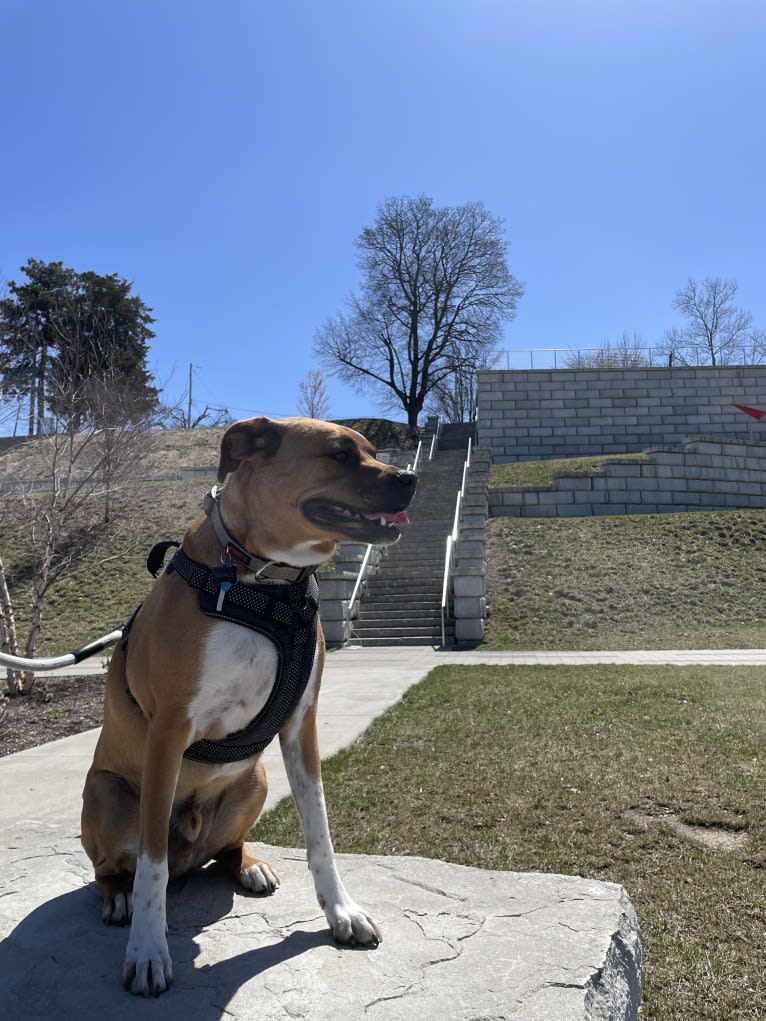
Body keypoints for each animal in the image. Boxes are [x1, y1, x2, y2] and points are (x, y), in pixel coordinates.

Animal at [81, 414, 416, 996]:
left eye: (373, 451)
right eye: (339, 454)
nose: (412, 478)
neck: (266, 582)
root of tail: (191, 856)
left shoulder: (301, 723)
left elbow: (319, 830)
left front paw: (341, 912)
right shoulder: (169, 731)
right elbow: (151, 863)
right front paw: (147, 951)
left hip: (254, 779)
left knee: (223, 849)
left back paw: (248, 866)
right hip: (104, 791)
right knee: (117, 868)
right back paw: (119, 897)